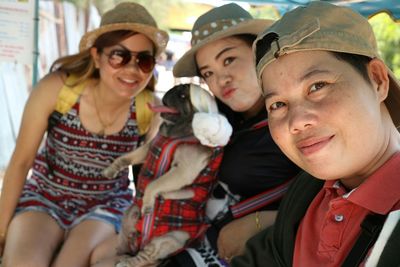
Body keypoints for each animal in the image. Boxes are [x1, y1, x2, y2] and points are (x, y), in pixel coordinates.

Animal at [103, 84, 233, 267]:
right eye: (177, 88)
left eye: (183, 96)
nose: (173, 89)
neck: (176, 134)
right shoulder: (148, 147)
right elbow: (127, 157)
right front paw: (111, 169)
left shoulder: (183, 170)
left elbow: (154, 184)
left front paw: (148, 203)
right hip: (130, 214)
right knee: (127, 239)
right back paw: (122, 253)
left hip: (170, 238)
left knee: (147, 255)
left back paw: (128, 262)